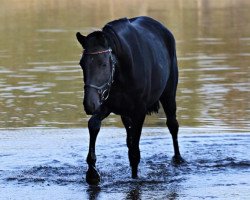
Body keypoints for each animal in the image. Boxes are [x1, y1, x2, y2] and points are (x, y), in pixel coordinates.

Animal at [76, 16, 184, 185]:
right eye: (82, 64)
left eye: (103, 64)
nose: (89, 104)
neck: (123, 70)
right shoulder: (106, 105)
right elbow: (93, 125)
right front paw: (92, 172)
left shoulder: (139, 112)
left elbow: (134, 153)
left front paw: (134, 177)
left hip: (168, 95)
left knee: (173, 125)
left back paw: (178, 158)